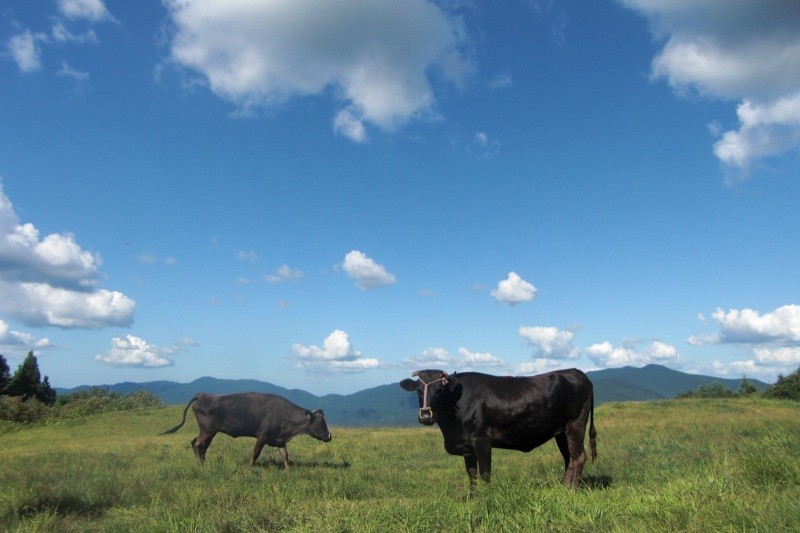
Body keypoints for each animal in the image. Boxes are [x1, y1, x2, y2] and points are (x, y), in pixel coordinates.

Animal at [159, 390, 332, 466]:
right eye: (320, 423)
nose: (330, 436)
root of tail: (203, 395)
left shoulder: (279, 439)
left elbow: (285, 455)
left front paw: (288, 469)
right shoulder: (262, 436)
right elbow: (255, 453)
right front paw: (250, 467)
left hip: (210, 432)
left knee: (201, 445)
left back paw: (203, 463)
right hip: (207, 430)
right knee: (196, 443)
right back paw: (199, 464)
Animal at [400, 368, 592, 488]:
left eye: (440, 391)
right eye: (419, 391)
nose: (426, 416)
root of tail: (577, 372)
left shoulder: (482, 439)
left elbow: (485, 473)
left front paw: (487, 499)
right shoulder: (467, 447)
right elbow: (472, 474)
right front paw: (474, 499)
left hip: (575, 423)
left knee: (579, 457)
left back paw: (573, 489)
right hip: (561, 431)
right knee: (569, 458)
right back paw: (564, 487)